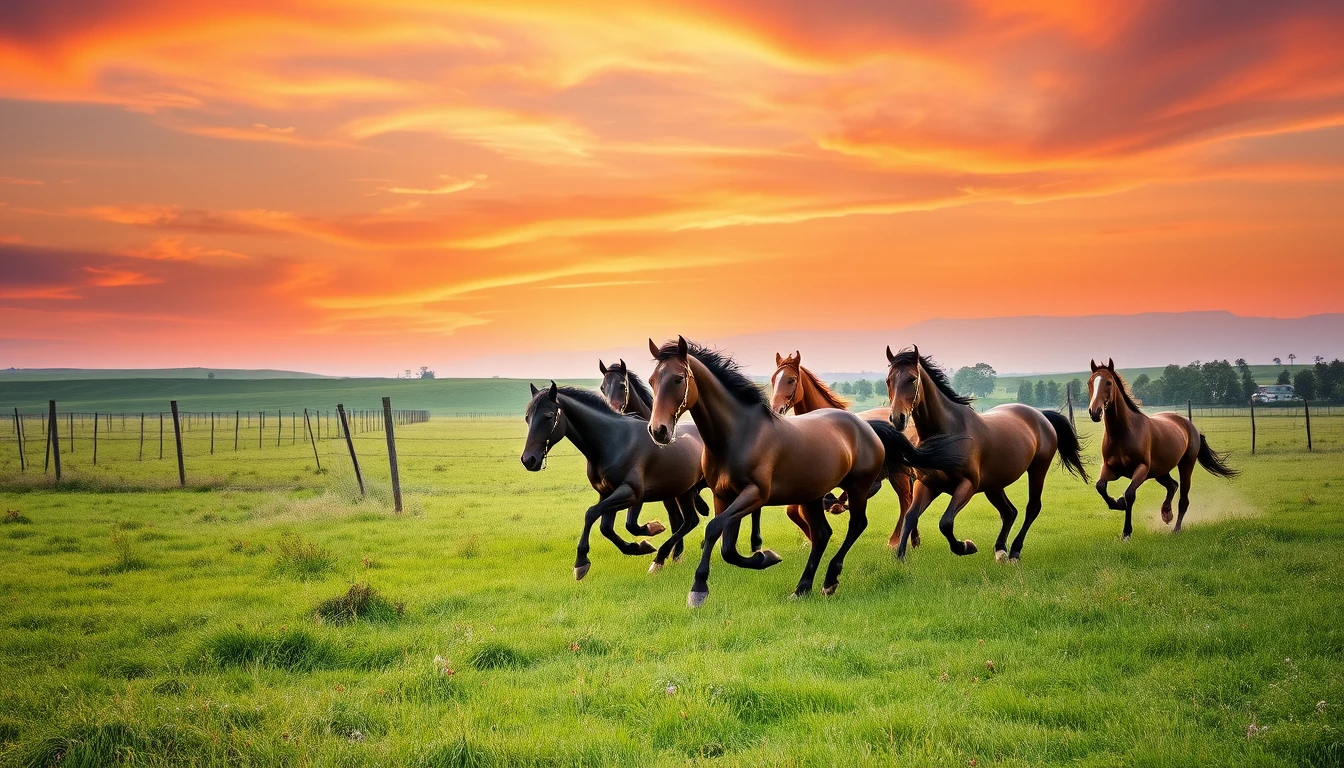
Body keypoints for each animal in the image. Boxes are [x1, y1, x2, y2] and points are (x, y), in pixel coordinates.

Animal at [520, 382, 705, 578]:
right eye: (527, 418)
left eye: (548, 416)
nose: (528, 460)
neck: (613, 441)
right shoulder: (608, 493)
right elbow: (606, 527)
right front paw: (639, 546)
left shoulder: (630, 493)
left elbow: (592, 513)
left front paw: (581, 563)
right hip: (685, 491)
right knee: (690, 521)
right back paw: (663, 557)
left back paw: (662, 558)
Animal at [770, 351, 920, 548]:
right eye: (773, 379)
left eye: (791, 379)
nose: (775, 409)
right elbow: (793, 510)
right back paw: (914, 539)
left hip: (898, 473)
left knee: (906, 500)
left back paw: (894, 541)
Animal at [885, 346, 1088, 563]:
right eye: (888, 380)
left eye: (912, 379)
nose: (897, 419)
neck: (950, 432)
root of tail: (1040, 414)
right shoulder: (927, 485)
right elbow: (911, 516)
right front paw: (900, 557)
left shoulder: (967, 485)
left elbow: (945, 522)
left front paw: (966, 546)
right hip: (994, 485)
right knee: (1009, 512)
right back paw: (1000, 550)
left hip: (1038, 469)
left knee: (1032, 508)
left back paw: (1015, 551)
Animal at [1088, 359, 1239, 539]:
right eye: (1090, 383)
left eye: (1108, 382)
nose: (1094, 412)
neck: (1124, 432)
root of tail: (1190, 426)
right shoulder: (1110, 468)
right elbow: (1100, 486)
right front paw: (1118, 503)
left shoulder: (1142, 469)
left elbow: (1129, 494)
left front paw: (1126, 532)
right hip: (1160, 471)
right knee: (1172, 485)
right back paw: (1166, 513)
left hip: (1186, 465)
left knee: (1183, 498)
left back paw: (1176, 528)